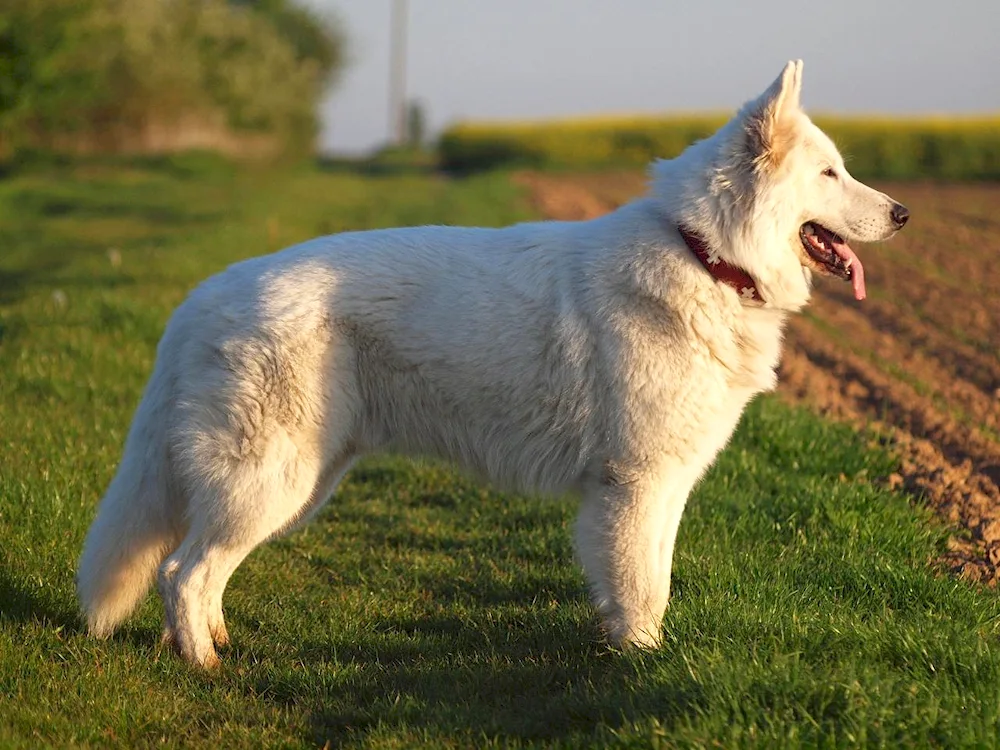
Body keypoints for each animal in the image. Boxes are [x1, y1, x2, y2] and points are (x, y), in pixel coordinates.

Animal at [78, 61, 908, 668]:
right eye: (830, 175)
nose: (904, 214)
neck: (703, 256)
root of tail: (203, 297)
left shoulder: (663, 487)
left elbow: (652, 582)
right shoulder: (636, 486)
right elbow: (642, 592)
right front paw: (642, 670)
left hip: (299, 483)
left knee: (195, 569)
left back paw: (213, 644)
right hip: (270, 481)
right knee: (181, 571)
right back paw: (203, 665)